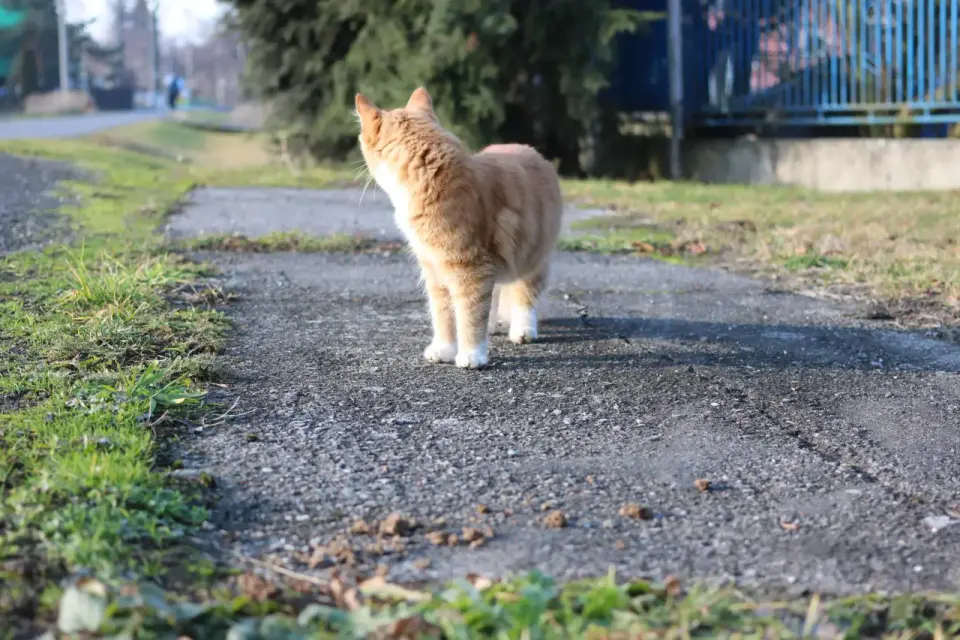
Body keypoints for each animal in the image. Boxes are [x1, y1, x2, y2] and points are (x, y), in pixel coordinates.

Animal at [355, 87, 563, 369]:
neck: (431, 176)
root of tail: (528, 148)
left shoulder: (470, 268)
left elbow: (470, 315)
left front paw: (472, 354)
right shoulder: (434, 269)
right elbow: (443, 315)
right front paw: (444, 348)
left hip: (532, 254)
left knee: (524, 294)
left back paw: (522, 330)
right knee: (496, 293)